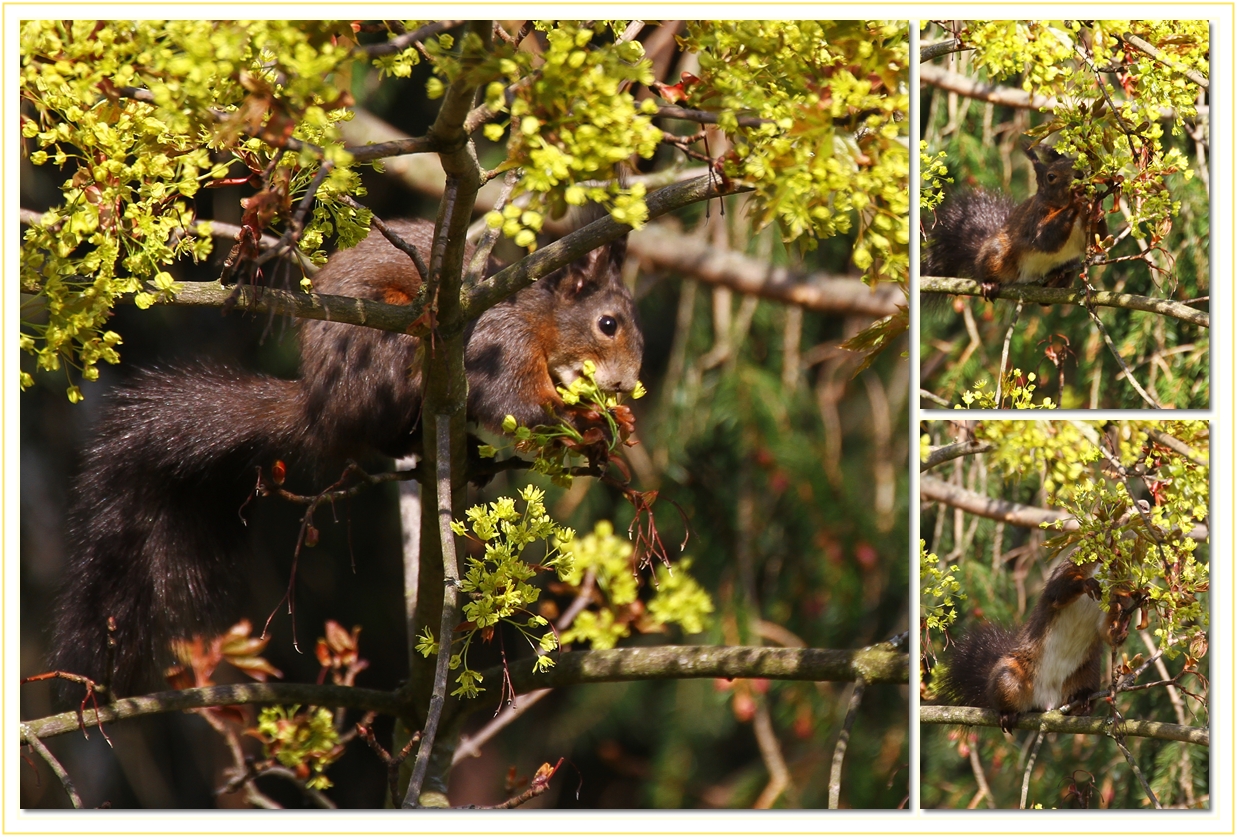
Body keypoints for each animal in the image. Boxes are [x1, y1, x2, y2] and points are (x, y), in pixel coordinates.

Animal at [51, 215, 643, 692]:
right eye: (607, 324)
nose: (624, 384)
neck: (541, 321)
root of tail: (320, 406)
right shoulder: (500, 343)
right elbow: (515, 402)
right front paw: (589, 423)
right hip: (390, 344)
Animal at [925, 144, 1108, 300]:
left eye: (1078, 162)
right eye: (1051, 176)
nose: (1080, 175)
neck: (1059, 205)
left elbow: (1099, 239)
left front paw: (1097, 207)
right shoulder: (1035, 215)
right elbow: (1045, 239)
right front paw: (1075, 200)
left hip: (1071, 262)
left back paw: (1057, 279)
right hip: (996, 253)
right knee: (987, 269)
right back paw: (989, 283)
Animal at [935, 553, 1138, 731]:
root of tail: (1047, 702)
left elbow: (1106, 631)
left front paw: (1122, 627)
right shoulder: (1068, 567)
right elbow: (1059, 590)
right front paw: (1086, 583)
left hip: (1088, 673)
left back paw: (1082, 700)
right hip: (1008, 676)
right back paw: (1007, 713)